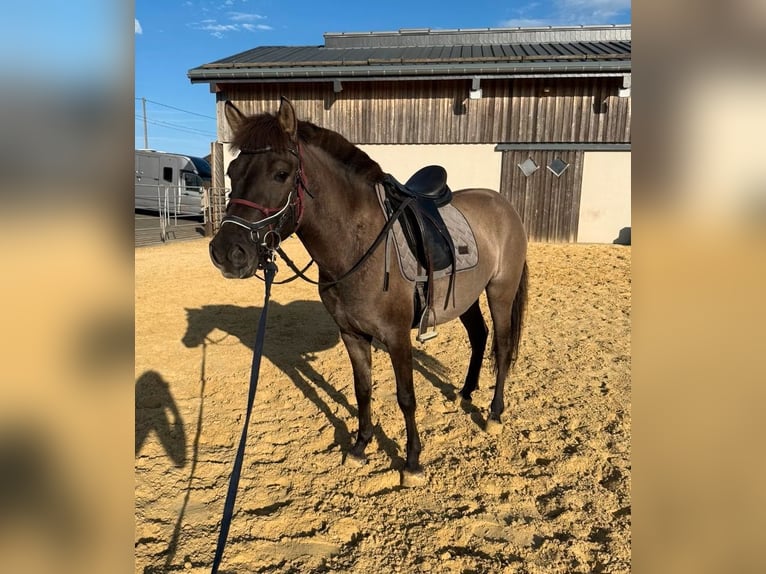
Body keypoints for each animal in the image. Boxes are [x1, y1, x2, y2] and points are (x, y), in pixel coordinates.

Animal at [209, 97, 528, 486]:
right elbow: (362, 390)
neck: (358, 244)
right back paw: (465, 393)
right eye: (232, 171)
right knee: (479, 336)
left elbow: (406, 396)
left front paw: (412, 462)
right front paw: (360, 446)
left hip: (500, 291)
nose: (227, 252)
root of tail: (504, 205)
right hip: (464, 296)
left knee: (501, 345)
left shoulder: (396, 336)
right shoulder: (352, 334)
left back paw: (494, 414)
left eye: (281, 173)